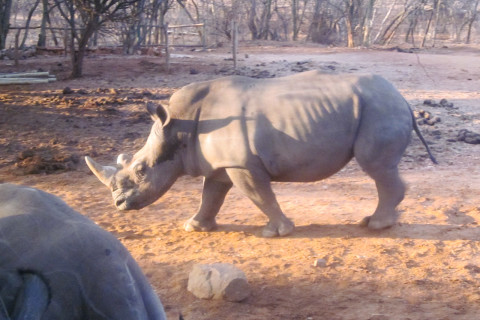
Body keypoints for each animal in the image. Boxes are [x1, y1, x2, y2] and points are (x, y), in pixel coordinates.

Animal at [85, 70, 436, 238]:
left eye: (141, 170)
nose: (119, 204)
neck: (178, 125)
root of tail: (404, 99)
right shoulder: (221, 164)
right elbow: (211, 195)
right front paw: (195, 227)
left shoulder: (241, 164)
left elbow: (260, 195)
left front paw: (275, 233)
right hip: (379, 106)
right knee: (381, 169)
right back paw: (375, 222)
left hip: (379, 108)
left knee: (375, 167)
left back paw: (375, 226)